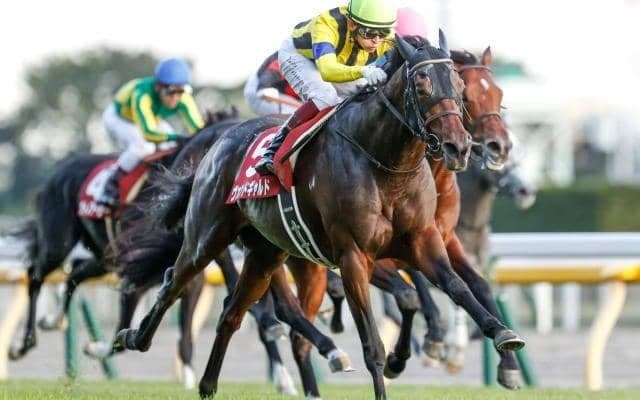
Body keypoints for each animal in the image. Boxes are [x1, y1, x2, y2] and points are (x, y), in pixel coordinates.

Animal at [115, 33, 524, 400]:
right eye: (422, 85)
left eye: (460, 85)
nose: (466, 146)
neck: (388, 165)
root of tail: (217, 140)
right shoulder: (356, 256)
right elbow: (381, 332)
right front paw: (401, 357)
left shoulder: (426, 241)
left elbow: (462, 287)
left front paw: (502, 339)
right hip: (208, 237)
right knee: (178, 283)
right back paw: (133, 337)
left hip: (267, 254)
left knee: (233, 313)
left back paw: (210, 385)